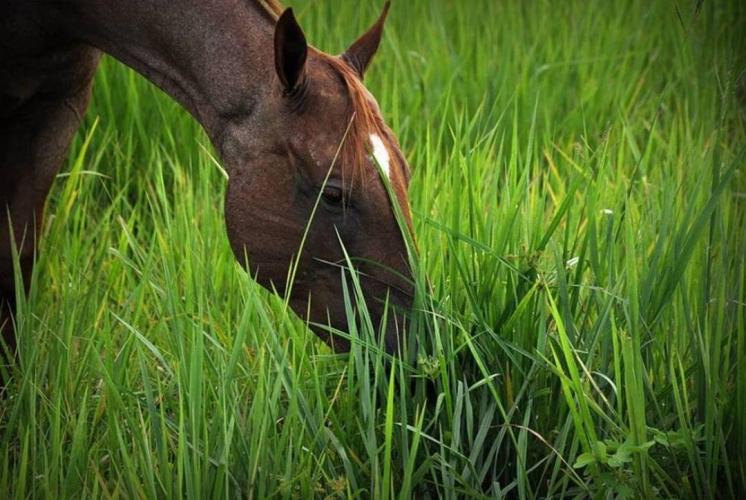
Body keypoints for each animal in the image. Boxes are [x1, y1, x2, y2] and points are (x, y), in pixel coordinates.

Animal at [0, 0, 414, 360]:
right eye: (332, 194)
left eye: (405, 174)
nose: (413, 344)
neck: (61, 15)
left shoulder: (60, 102)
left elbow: (18, 255)